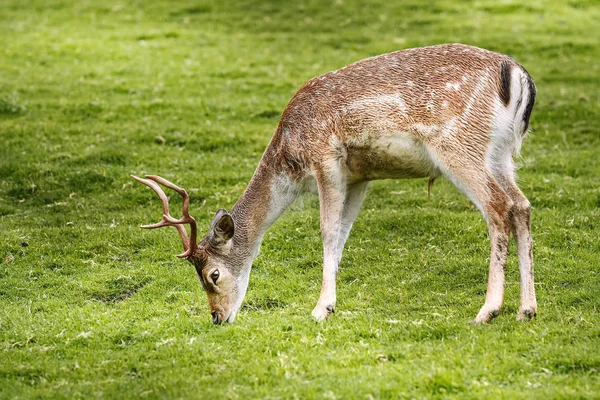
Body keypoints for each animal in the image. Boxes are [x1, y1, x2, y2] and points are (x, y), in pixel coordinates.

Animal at [134, 43, 536, 324]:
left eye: (213, 274)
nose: (217, 317)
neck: (290, 157)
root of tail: (518, 77)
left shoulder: (326, 160)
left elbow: (328, 231)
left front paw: (319, 308)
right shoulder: (360, 177)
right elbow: (343, 233)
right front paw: (330, 304)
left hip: (460, 146)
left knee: (498, 207)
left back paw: (488, 310)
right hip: (500, 154)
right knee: (521, 205)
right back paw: (527, 309)